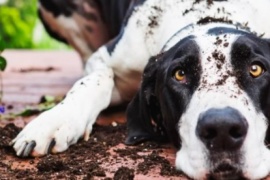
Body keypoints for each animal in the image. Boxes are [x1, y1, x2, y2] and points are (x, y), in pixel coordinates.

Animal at [11, 0, 270, 179]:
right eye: (180, 74)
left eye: (256, 69)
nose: (222, 129)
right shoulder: (105, 58)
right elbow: (95, 80)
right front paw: (55, 121)